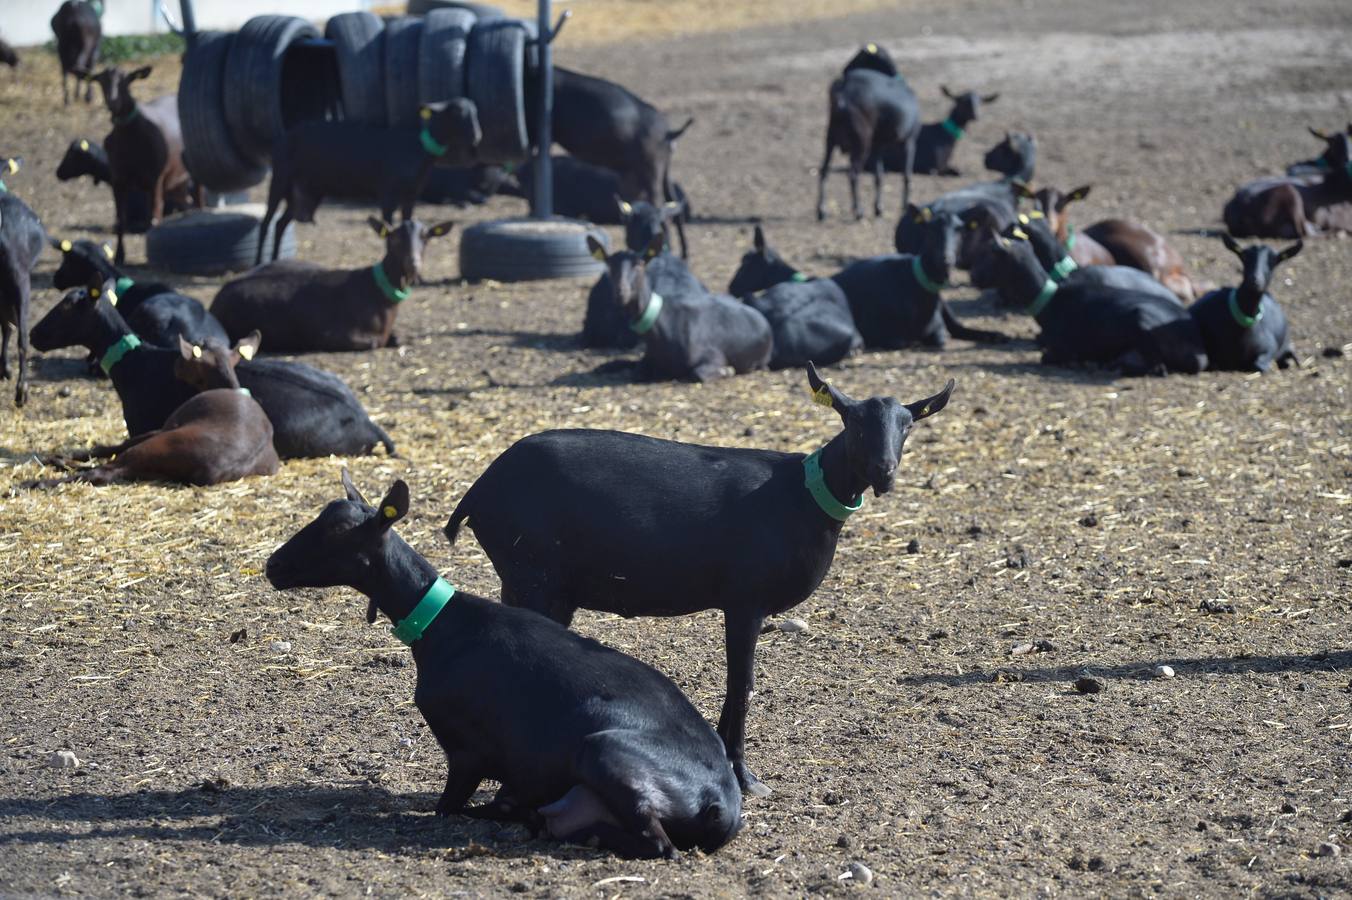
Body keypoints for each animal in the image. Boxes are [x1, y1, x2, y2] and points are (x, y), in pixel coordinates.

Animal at [22, 332, 278, 486]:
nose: (176, 364)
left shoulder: (163, 427)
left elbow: (109, 446)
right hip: (153, 466)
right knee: (110, 470)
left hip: (155, 444)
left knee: (102, 470)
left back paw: (43, 477)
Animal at [92, 66, 200, 263]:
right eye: (101, 80)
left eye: (127, 80)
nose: (113, 101)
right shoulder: (118, 180)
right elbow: (120, 219)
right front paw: (119, 256)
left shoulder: (155, 179)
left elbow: (154, 215)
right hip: (176, 182)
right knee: (186, 203)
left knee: (197, 202)